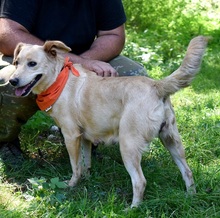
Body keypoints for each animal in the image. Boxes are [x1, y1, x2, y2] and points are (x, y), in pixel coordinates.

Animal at [8, 36, 207, 208]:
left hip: (128, 146)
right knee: (188, 171)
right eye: (16, 63)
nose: (12, 81)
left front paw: (71, 184)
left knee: (140, 181)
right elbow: (85, 163)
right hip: (172, 141)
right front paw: (87, 180)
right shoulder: (85, 137)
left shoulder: (71, 136)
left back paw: (133, 208)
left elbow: (75, 166)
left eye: (32, 64)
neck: (59, 79)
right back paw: (190, 197)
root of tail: (157, 85)